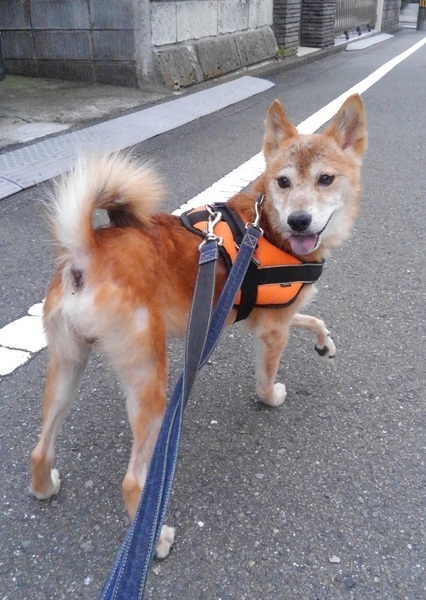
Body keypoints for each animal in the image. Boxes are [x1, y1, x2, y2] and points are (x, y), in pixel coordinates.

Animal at [30, 94, 367, 558]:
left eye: (326, 179)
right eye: (283, 182)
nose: (299, 220)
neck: (268, 227)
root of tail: (87, 252)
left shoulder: (272, 316)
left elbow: (313, 317)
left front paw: (324, 343)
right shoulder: (271, 331)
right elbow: (266, 378)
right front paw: (272, 397)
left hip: (67, 366)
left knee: (40, 449)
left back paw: (45, 486)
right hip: (150, 383)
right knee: (133, 479)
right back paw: (155, 540)